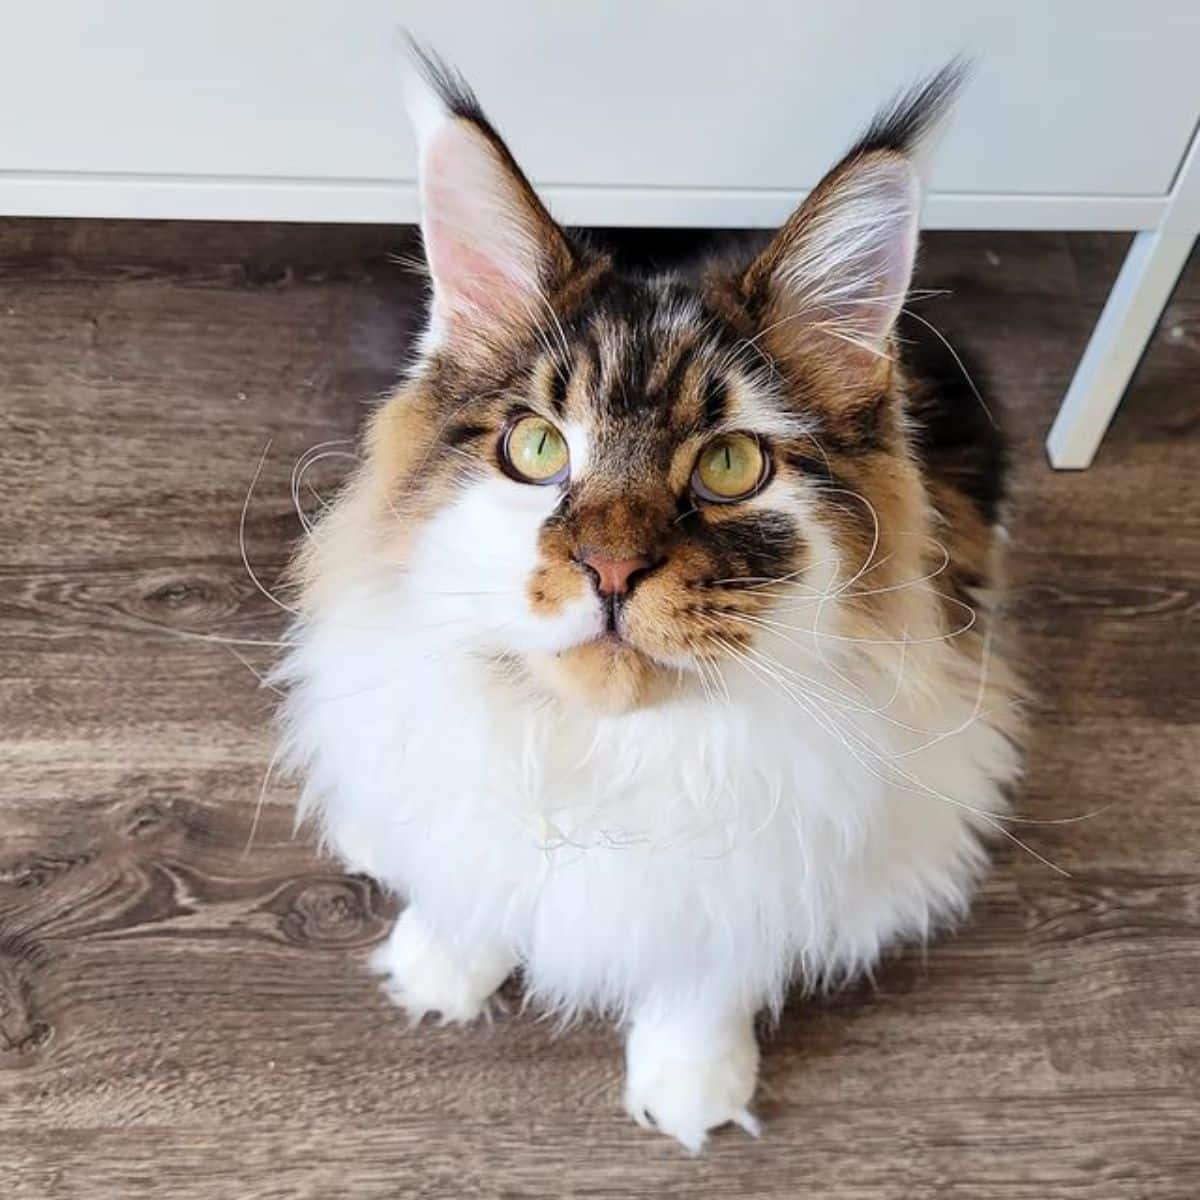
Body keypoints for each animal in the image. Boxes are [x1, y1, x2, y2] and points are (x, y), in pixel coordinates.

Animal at [278, 49, 1022, 1152]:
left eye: (731, 465)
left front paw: (692, 1083)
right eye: (537, 447)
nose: (611, 570)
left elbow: (705, 969)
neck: (608, 756)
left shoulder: (764, 865)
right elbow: (470, 869)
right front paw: (440, 971)